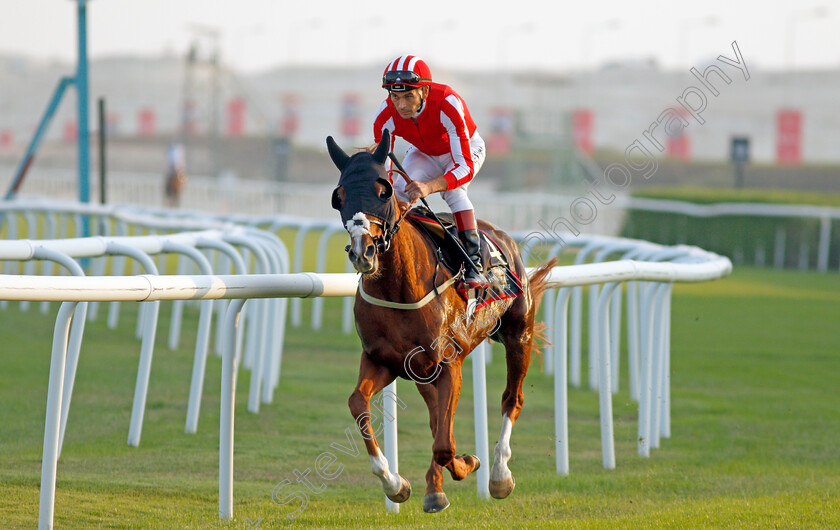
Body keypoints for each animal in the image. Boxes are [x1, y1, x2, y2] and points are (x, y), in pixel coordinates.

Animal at [328, 130, 556, 510]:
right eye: (339, 196)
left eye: (383, 191)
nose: (363, 252)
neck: (398, 288)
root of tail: (502, 236)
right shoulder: (382, 359)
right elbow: (359, 403)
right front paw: (396, 483)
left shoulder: (449, 362)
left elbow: (444, 443)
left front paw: (467, 466)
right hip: (421, 370)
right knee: (437, 415)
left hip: (518, 335)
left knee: (512, 399)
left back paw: (498, 475)